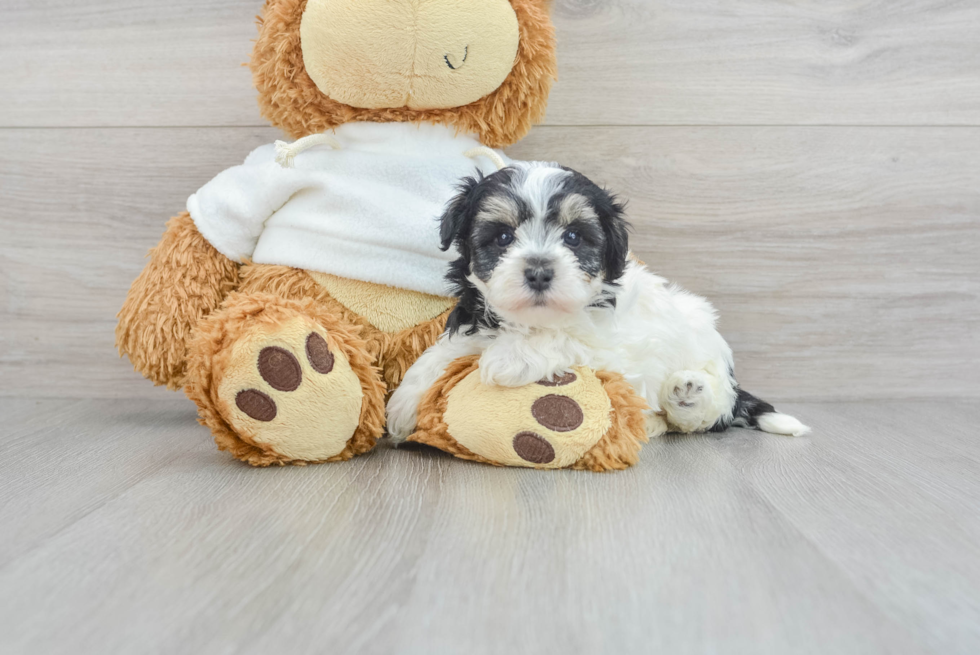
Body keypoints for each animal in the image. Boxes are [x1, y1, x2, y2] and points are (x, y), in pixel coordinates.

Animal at [386, 161, 808, 444]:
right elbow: (443, 352)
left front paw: (511, 357)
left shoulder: (610, 345)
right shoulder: (477, 322)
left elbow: (565, 337)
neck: (531, 319)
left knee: (708, 414)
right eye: (503, 236)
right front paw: (404, 403)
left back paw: (686, 396)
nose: (539, 271)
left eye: (574, 236)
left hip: (706, 355)